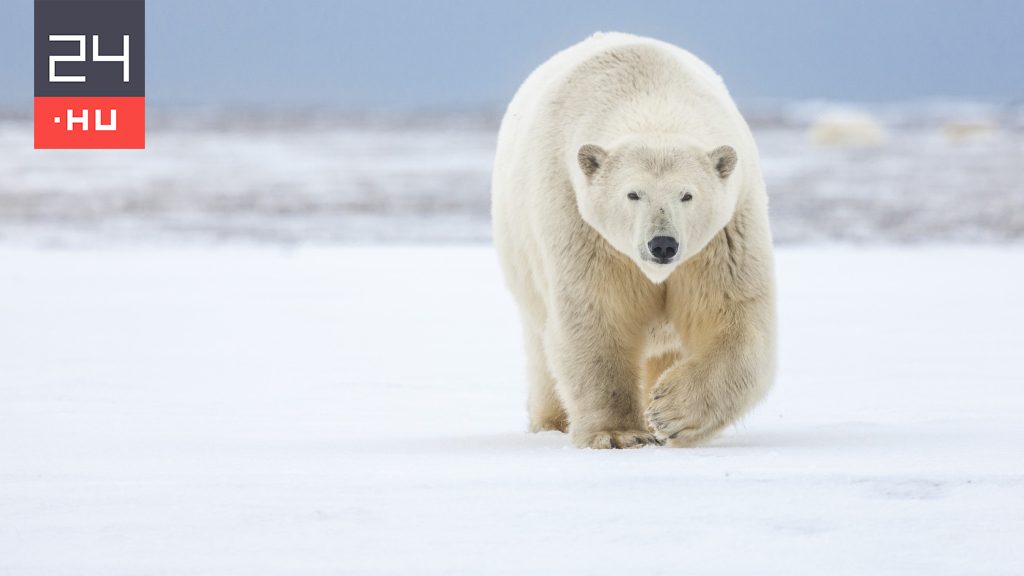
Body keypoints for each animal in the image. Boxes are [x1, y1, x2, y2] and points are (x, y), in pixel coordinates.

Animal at [489, 32, 774, 448]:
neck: (649, 95)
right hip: (523, 259)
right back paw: (551, 421)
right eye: (633, 194)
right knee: (542, 348)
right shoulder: (580, 222)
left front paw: (668, 411)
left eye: (687, 195)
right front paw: (619, 433)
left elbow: (733, 314)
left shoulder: (725, 235)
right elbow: (597, 314)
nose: (663, 244)